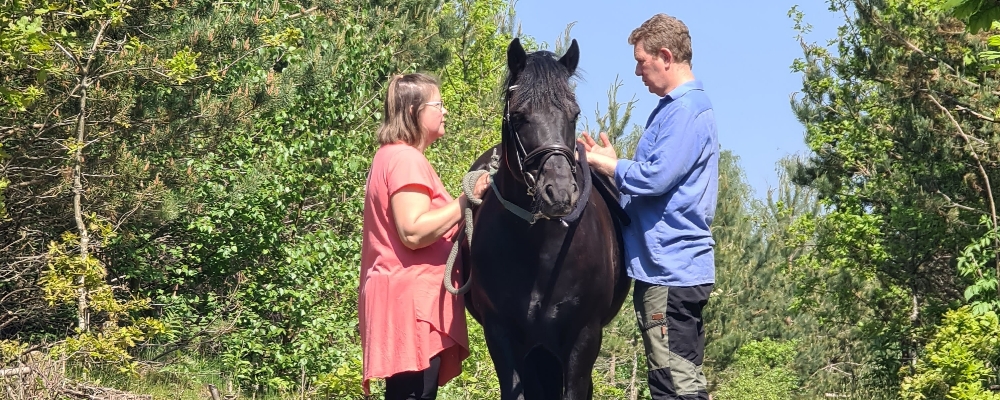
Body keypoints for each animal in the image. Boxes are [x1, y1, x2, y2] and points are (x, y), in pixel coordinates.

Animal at [458, 38, 628, 400]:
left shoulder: (584, 336)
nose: (559, 192)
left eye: (574, 114)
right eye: (519, 115)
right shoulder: (501, 335)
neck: (540, 249)